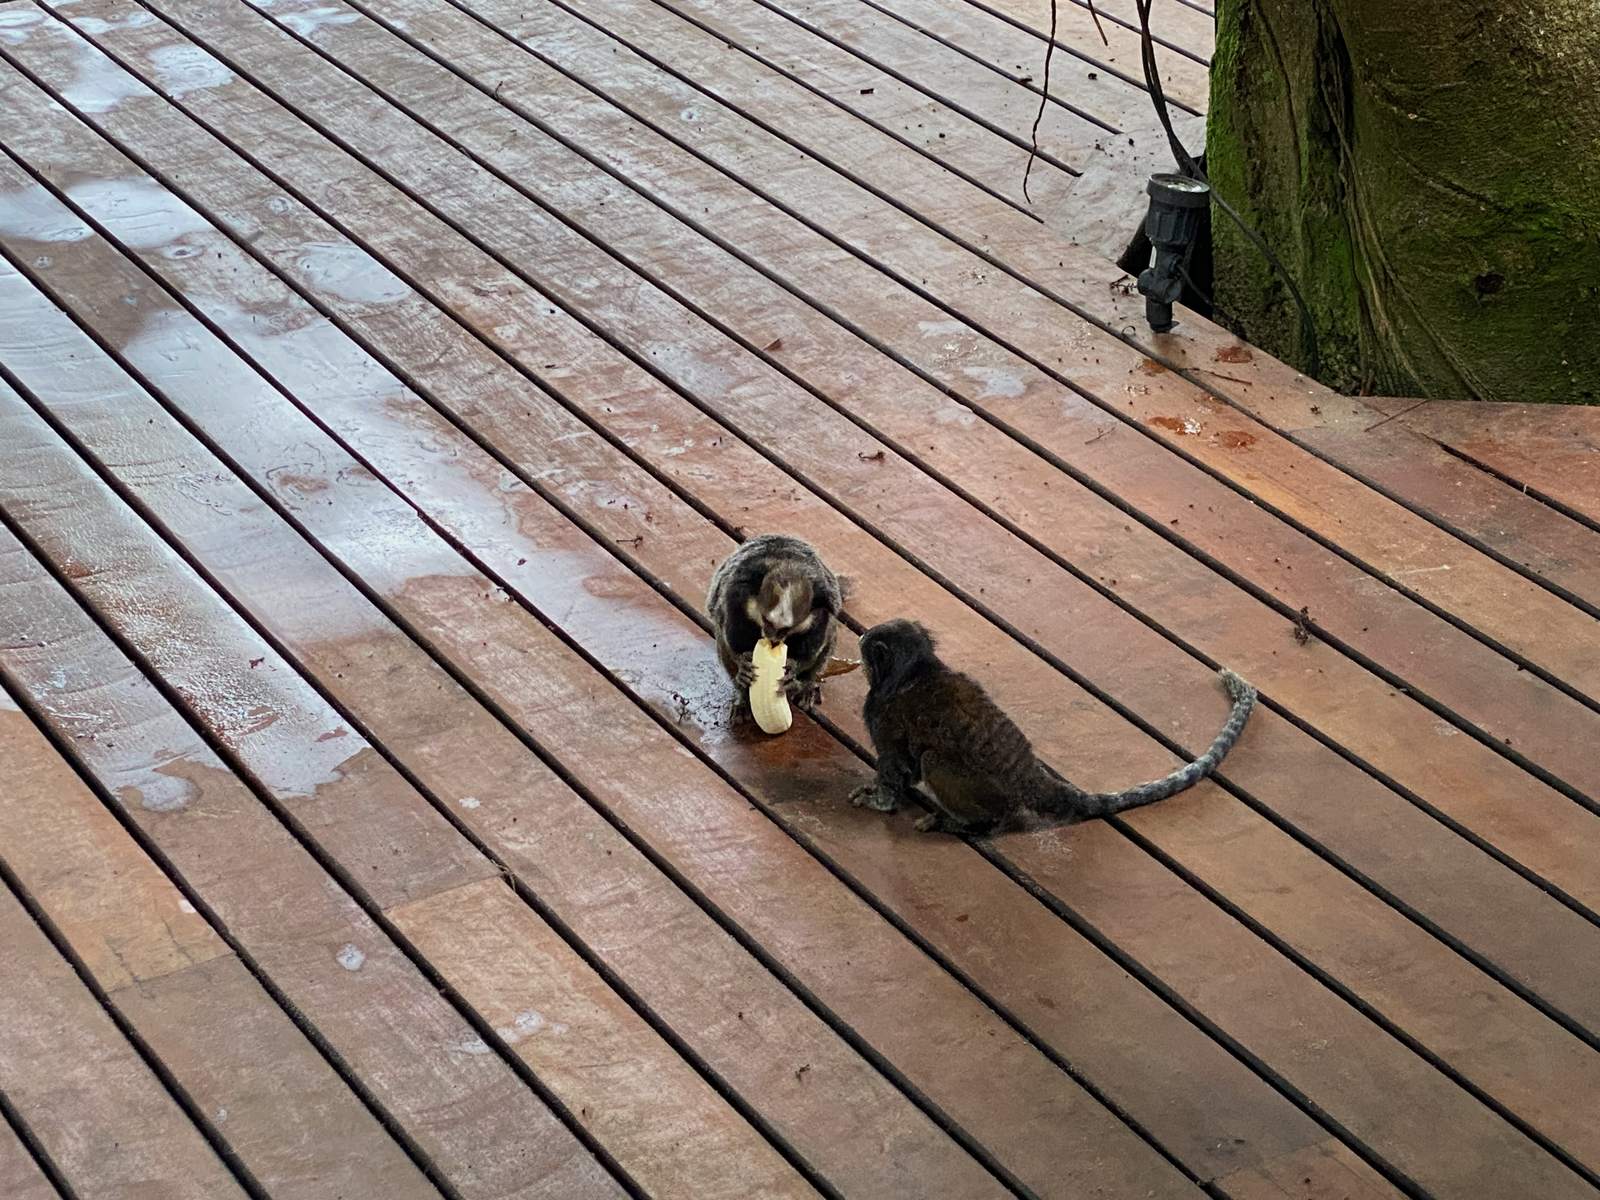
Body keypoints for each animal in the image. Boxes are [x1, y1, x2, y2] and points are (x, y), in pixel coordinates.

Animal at [706, 534, 845, 711]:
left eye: (786, 629)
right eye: (766, 621)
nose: (772, 639)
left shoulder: (821, 615)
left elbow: (814, 650)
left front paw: (794, 673)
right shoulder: (734, 598)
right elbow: (728, 636)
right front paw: (742, 665)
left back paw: (805, 686)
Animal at [849, 619, 1256, 835]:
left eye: (869, 645)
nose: (861, 636)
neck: (914, 673)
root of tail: (1027, 777)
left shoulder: (882, 717)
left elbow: (897, 770)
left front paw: (879, 800)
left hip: (984, 790)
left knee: (935, 760)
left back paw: (970, 824)